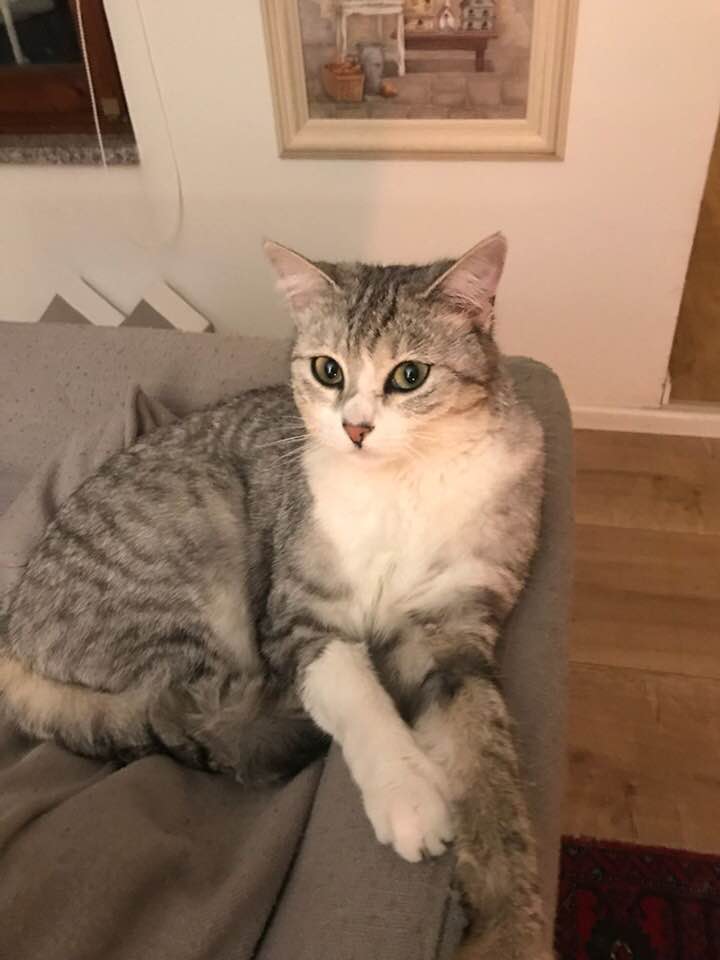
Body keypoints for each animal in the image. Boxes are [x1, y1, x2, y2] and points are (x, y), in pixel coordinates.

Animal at [0, 232, 549, 958]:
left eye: (409, 375)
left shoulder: (455, 627)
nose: (356, 428)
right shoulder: (300, 615)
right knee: (202, 715)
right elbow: (358, 697)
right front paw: (409, 793)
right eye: (327, 370)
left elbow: (489, 770)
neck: (399, 486)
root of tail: (11, 638)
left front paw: (510, 924)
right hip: (199, 538)